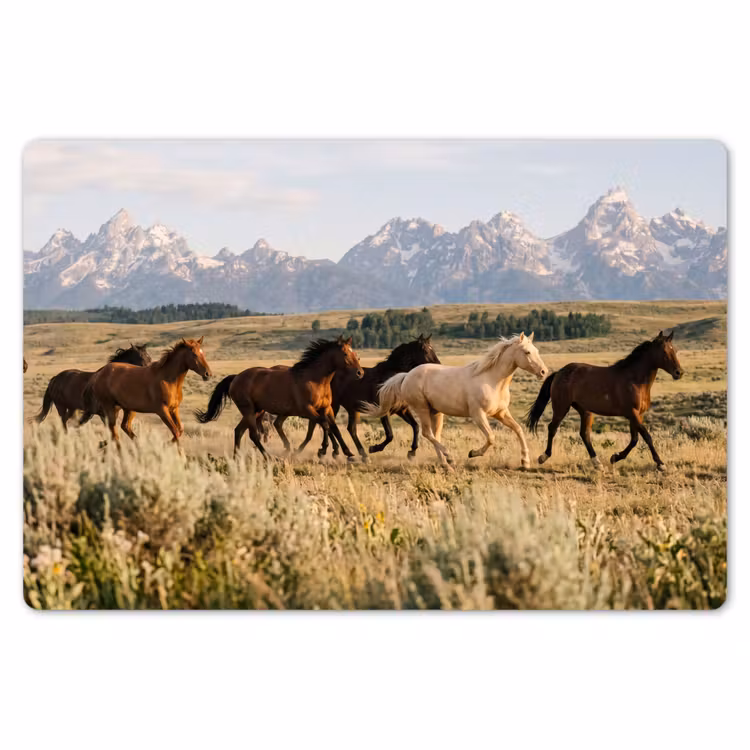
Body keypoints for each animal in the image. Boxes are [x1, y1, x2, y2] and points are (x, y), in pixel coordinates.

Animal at [82, 337, 212, 447]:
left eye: (203, 353)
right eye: (194, 354)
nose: (208, 374)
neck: (168, 380)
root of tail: (99, 373)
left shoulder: (174, 409)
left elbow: (180, 430)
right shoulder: (162, 411)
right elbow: (175, 431)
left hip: (128, 409)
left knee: (124, 427)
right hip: (110, 408)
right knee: (115, 435)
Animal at [195, 335, 364, 461]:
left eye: (356, 354)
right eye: (345, 354)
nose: (360, 373)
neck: (315, 379)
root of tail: (235, 377)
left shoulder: (326, 408)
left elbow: (334, 427)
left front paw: (347, 452)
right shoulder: (307, 409)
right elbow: (325, 425)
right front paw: (326, 450)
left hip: (256, 411)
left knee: (239, 431)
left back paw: (237, 457)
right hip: (249, 410)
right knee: (253, 434)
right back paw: (268, 456)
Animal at [295, 334, 441, 460]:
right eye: (425, 350)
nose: (438, 365)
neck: (391, 379)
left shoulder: (402, 410)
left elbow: (416, 427)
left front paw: (412, 452)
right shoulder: (383, 411)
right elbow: (390, 435)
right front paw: (374, 448)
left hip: (352, 409)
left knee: (350, 429)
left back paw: (359, 454)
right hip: (334, 405)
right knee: (329, 425)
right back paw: (330, 451)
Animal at [362, 333, 548, 469]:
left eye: (537, 351)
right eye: (527, 352)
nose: (544, 372)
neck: (492, 380)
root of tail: (406, 375)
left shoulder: (500, 413)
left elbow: (518, 430)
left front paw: (525, 462)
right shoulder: (478, 415)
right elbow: (491, 437)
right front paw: (473, 453)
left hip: (436, 412)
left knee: (434, 435)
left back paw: (445, 463)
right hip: (422, 408)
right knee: (427, 433)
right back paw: (449, 457)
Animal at [525, 330, 683, 471]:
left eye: (675, 350)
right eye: (664, 352)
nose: (679, 373)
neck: (634, 380)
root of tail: (559, 372)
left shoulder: (637, 414)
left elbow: (634, 439)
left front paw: (615, 457)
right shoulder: (632, 413)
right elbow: (646, 436)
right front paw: (661, 464)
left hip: (585, 411)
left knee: (584, 434)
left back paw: (597, 463)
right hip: (561, 407)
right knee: (552, 428)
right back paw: (544, 457)